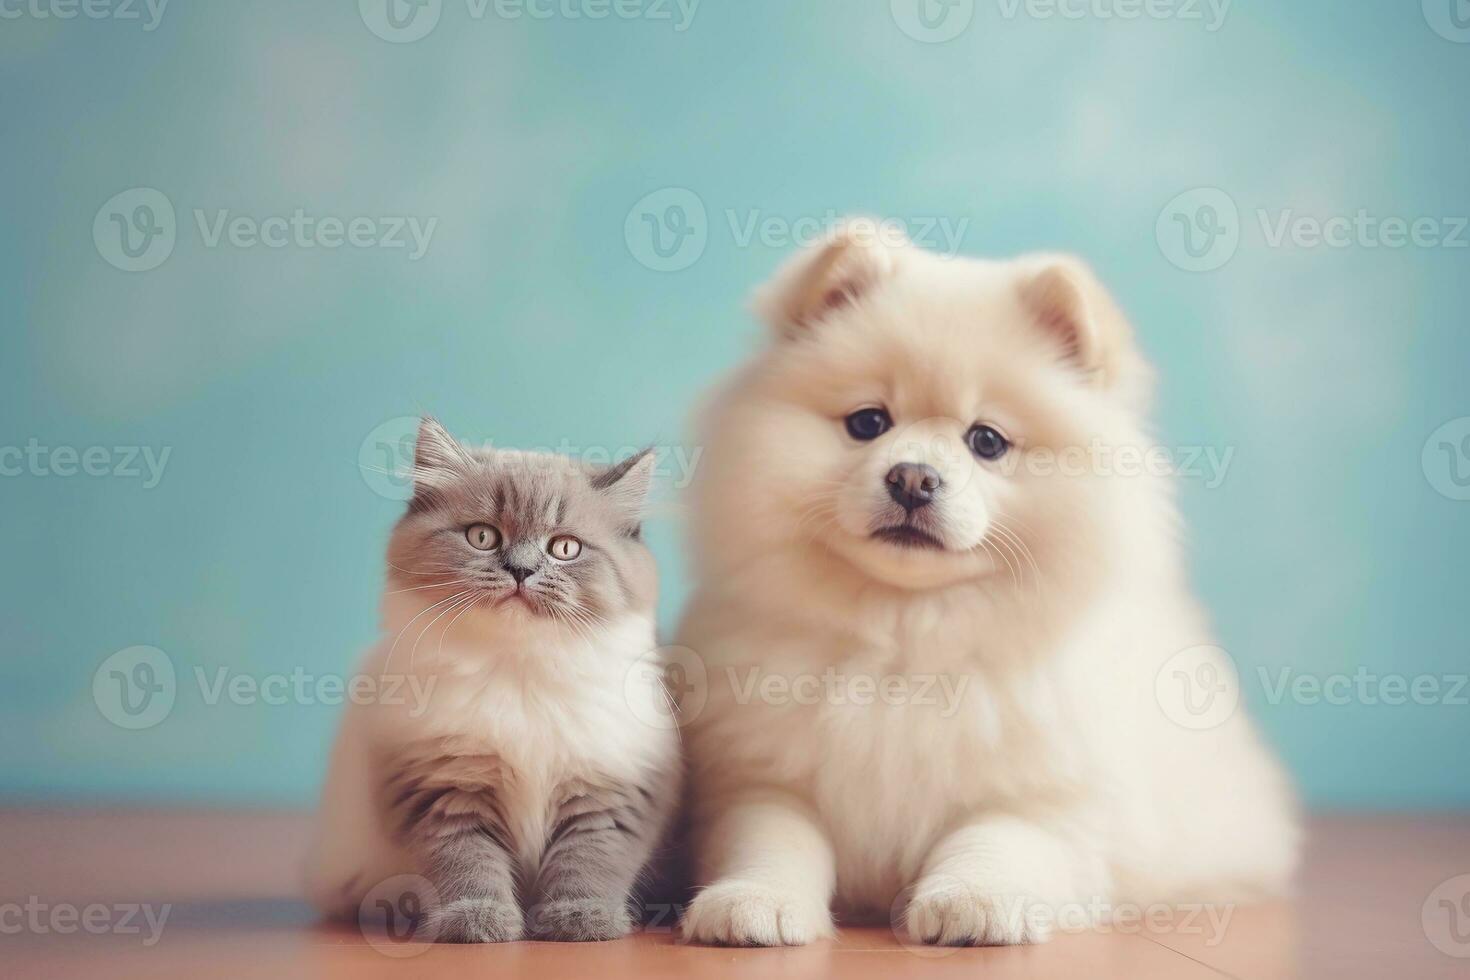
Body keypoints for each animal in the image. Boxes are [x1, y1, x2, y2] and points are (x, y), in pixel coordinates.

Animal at [308, 420, 682, 940]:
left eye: (564, 548)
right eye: (482, 537)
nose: (521, 570)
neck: (520, 671)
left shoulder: (605, 791)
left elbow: (587, 863)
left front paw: (579, 921)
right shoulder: (444, 787)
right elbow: (467, 864)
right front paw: (477, 921)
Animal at [676, 218, 1299, 946]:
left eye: (987, 441)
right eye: (868, 423)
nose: (912, 477)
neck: (906, 641)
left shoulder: (1048, 796)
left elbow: (994, 838)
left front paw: (971, 903)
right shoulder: (760, 778)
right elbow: (773, 841)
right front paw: (752, 904)